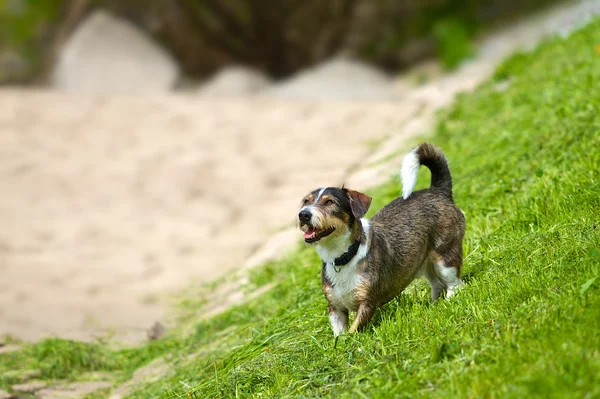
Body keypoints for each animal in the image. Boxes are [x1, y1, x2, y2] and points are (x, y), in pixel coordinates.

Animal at [298, 142, 466, 336]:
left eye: (329, 202)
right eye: (306, 201)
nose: (303, 214)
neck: (343, 257)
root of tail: (437, 191)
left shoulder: (367, 303)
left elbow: (353, 331)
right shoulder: (335, 308)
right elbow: (339, 334)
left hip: (445, 257)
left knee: (455, 283)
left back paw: (450, 301)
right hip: (426, 262)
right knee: (437, 283)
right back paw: (433, 304)